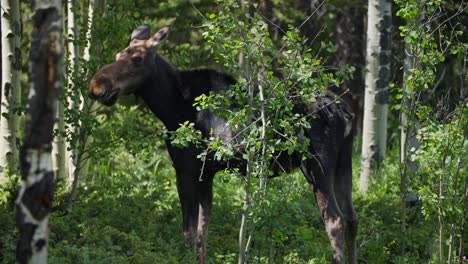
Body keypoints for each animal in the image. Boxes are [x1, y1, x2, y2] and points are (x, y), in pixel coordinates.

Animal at [88, 23, 358, 264]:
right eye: (117, 55)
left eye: (137, 58)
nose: (97, 86)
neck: (170, 107)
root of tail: (345, 112)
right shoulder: (206, 174)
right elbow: (202, 234)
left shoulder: (185, 170)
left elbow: (188, 233)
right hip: (343, 163)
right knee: (352, 219)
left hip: (317, 165)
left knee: (335, 221)